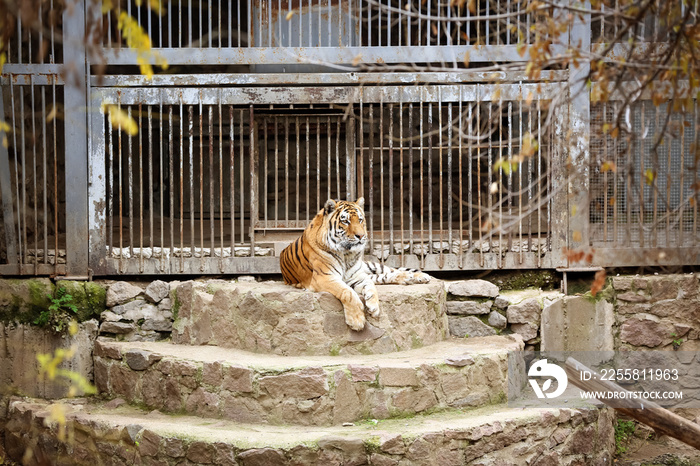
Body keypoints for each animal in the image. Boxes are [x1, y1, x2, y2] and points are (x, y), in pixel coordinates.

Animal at [280, 197, 432, 332]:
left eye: (360, 220)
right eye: (346, 221)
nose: (361, 236)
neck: (347, 254)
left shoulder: (357, 277)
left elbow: (371, 286)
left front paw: (373, 306)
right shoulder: (324, 278)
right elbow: (348, 292)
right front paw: (357, 321)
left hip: (370, 266)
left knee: (391, 271)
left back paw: (419, 276)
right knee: (383, 277)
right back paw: (410, 278)